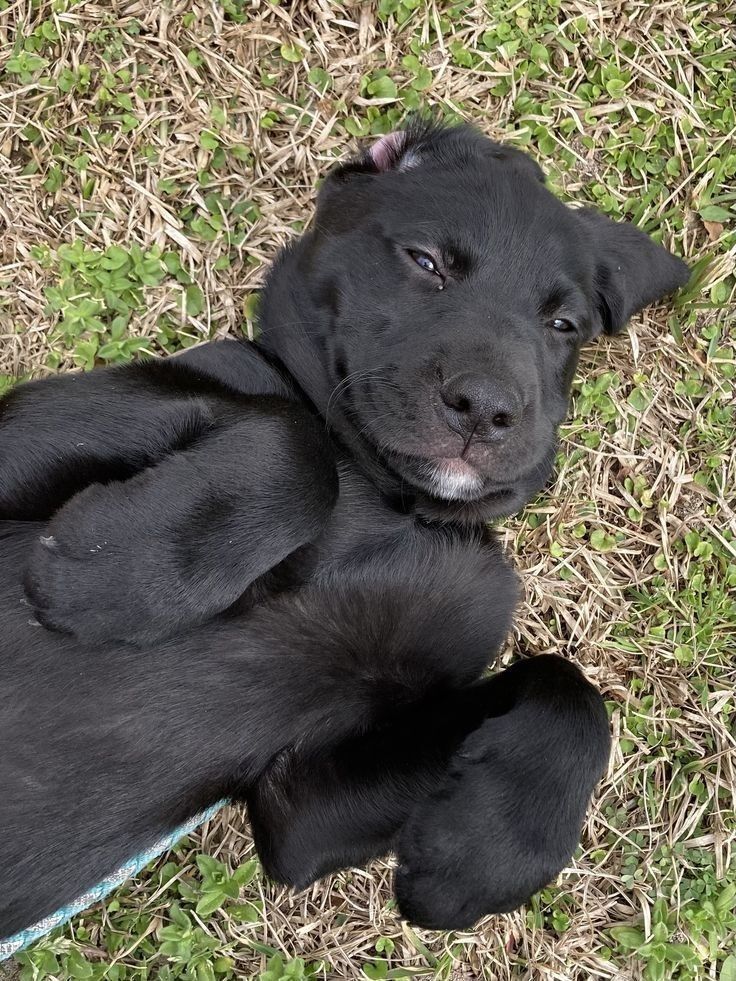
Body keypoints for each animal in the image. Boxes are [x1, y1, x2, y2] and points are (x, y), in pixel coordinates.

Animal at [1, 122, 688, 936]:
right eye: (425, 262)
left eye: (562, 325)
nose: (488, 409)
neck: (389, 499)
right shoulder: (31, 427)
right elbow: (290, 435)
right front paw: (106, 577)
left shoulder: (299, 805)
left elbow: (566, 684)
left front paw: (478, 856)